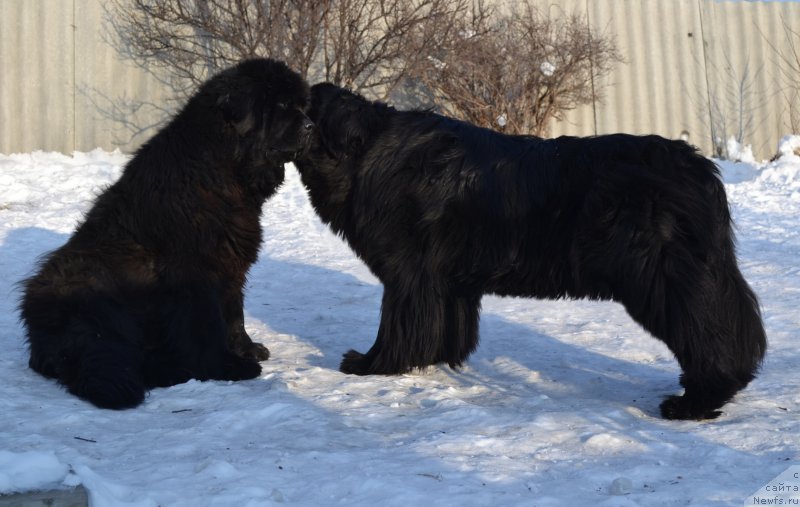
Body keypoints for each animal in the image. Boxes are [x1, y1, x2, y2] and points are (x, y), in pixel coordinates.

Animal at [18, 58, 312, 408]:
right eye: (281, 106)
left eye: (301, 106)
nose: (311, 126)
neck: (221, 170)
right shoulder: (194, 269)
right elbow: (207, 322)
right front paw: (227, 366)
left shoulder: (230, 261)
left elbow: (234, 312)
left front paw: (246, 348)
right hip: (92, 295)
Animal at [296, 83, 768, 420]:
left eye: (297, 105)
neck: (363, 154)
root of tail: (700, 169)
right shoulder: (448, 283)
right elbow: (447, 328)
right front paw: (438, 362)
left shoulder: (409, 277)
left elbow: (397, 328)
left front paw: (372, 364)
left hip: (665, 278)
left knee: (711, 333)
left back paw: (696, 401)